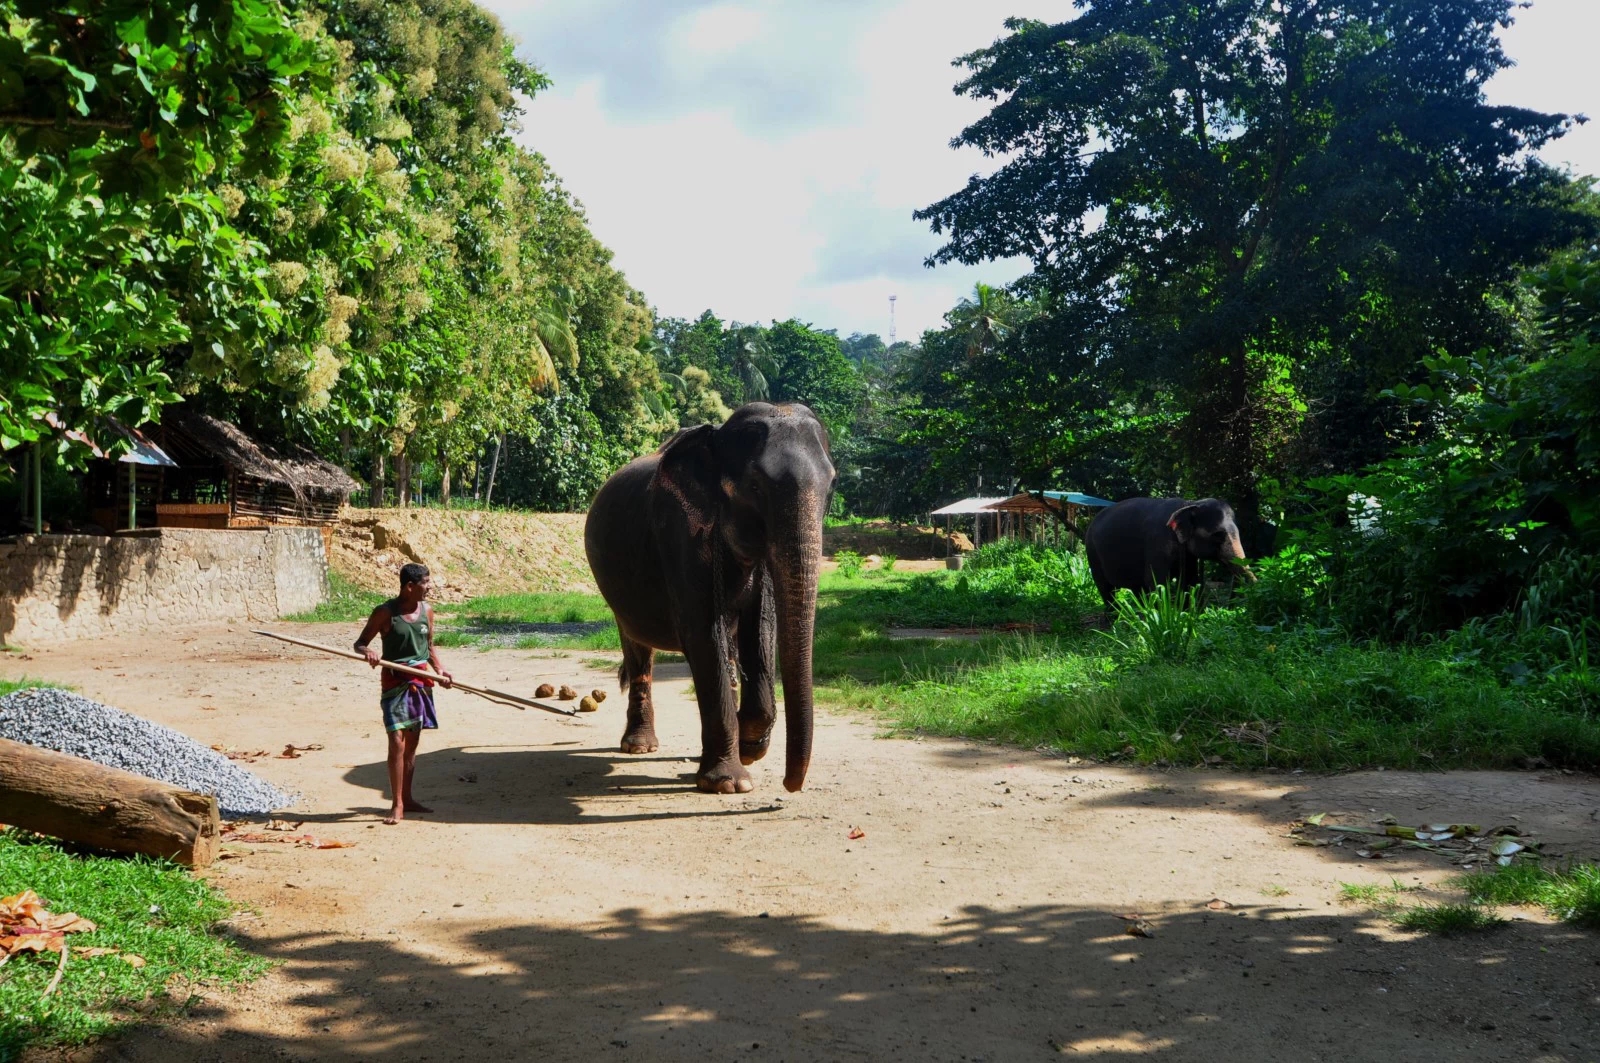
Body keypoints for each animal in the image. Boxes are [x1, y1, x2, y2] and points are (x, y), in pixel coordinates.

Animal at [582, 403, 832, 794]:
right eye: (755, 486)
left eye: (832, 485)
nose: (790, 785)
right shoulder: (678, 535)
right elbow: (703, 633)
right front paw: (730, 782)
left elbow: (761, 628)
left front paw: (749, 750)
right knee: (637, 649)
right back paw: (639, 747)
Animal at [1081, 496, 1254, 611]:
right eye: (1218, 535)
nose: (1230, 608)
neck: (1189, 504)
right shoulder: (1157, 542)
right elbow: (1156, 580)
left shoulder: (1187, 553)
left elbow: (1190, 580)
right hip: (1092, 551)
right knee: (1105, 588)